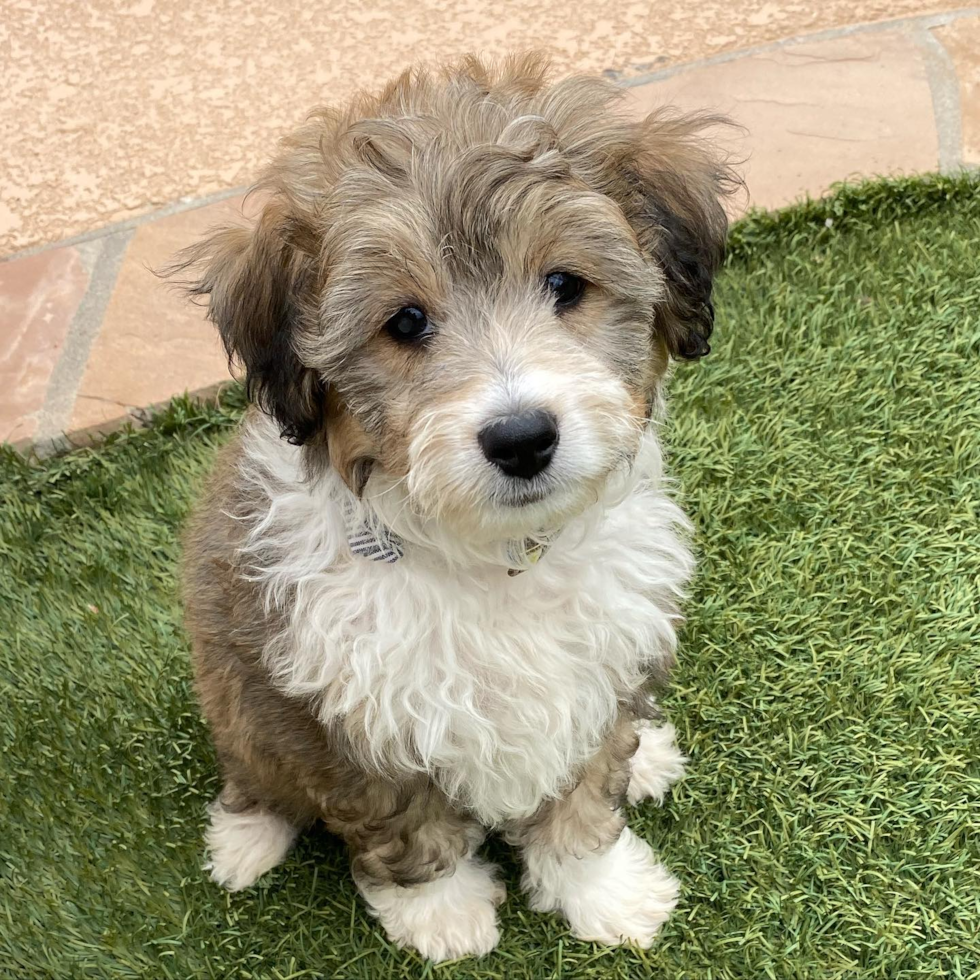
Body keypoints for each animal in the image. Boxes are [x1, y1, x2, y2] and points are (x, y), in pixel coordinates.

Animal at [172, 51, 736, 956]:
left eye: (565, 284)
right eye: (404, 322)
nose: (521, 437)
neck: (500, 556)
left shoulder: (598, 662)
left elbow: (585, 794)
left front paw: (603, 891)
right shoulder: (350, 717)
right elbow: (407, 823)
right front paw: (441, 914)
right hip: (235, 685)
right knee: (254, 767)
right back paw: (244, 838)